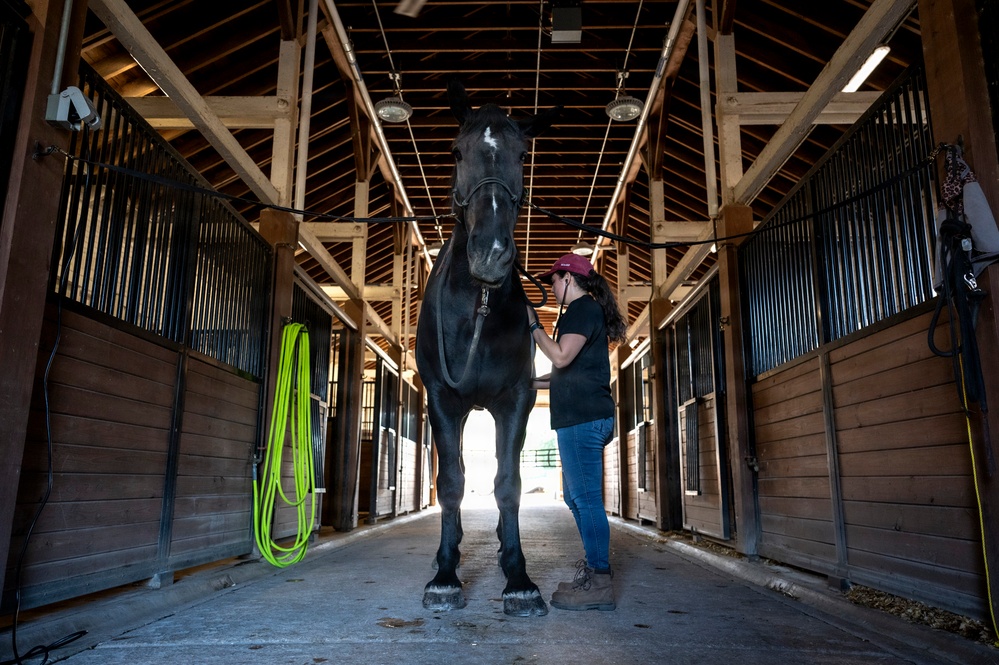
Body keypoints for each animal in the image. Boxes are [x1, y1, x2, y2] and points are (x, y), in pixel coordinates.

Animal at [415, 80, 560, 617]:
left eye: (522, 154)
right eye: (457, 151)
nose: (491, 256)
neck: (476, 304)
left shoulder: (516, 400)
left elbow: (508, 485)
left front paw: (518, 577)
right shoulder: (442, 399)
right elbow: (452, 484)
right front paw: (444, 576)